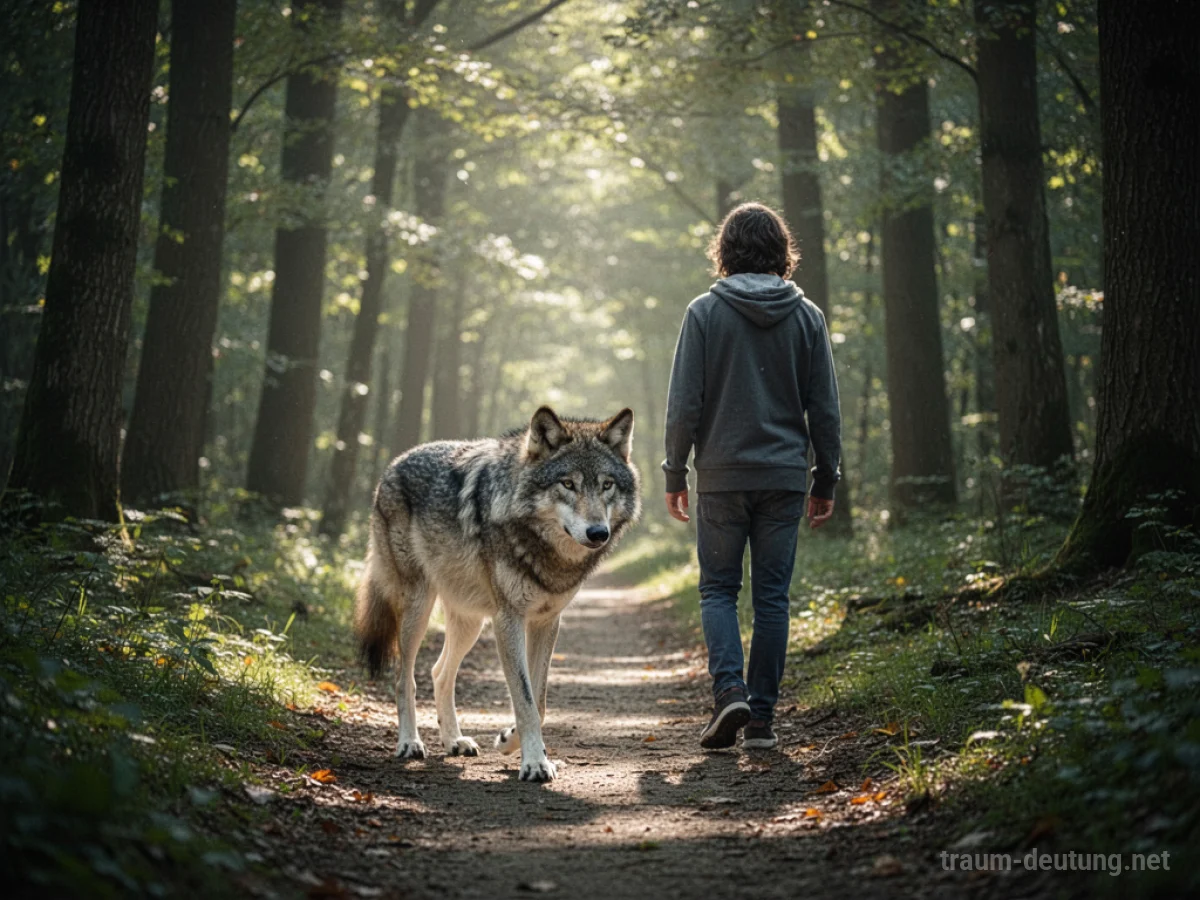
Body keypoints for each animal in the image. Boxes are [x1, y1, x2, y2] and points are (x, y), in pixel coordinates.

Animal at [355, 406, 641, 782]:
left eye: (607, 485)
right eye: (568, 484)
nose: (598, 533)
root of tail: (393, 465)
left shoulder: (547, 621)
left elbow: (540, 701)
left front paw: (511, 742)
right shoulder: (510, 619)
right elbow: (525, 699)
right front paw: (534, 763)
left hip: (470, 623)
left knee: (439, 672)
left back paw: (455, 741)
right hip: (418, 608)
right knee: (406, 679)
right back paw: (409, 743)